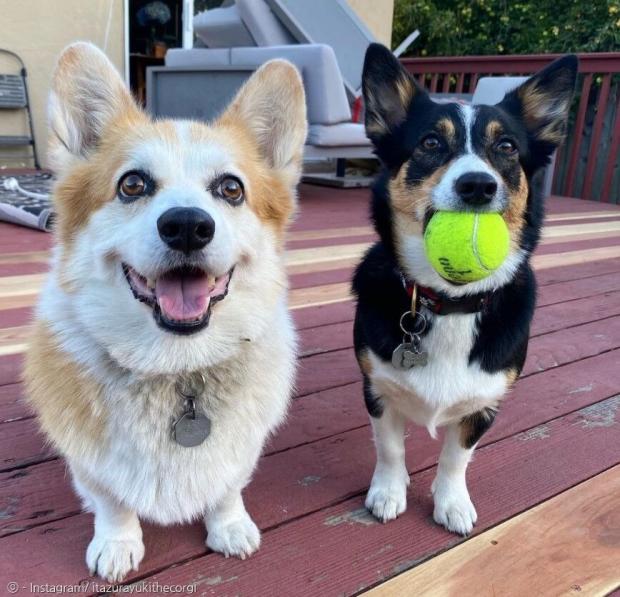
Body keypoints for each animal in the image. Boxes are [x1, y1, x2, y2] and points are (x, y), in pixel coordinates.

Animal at [354, 44, 576, 532]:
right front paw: (388, 492)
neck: (451, 302)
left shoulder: (484, 404)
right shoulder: (377, 388)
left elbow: (456, 456)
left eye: (507, 147)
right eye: (430, 143)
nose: (478, 185)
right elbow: (389, 447)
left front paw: (451, 502)